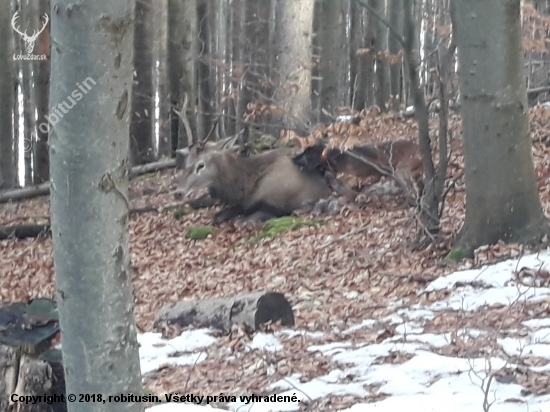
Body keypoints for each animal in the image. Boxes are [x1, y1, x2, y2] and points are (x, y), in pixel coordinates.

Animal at [176, 136, 332, 224]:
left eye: (200, 165)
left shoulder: (279, 204)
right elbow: (219, 215)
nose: (178, 192)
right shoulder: (244, 204)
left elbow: (245, 220)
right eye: (185, 164)